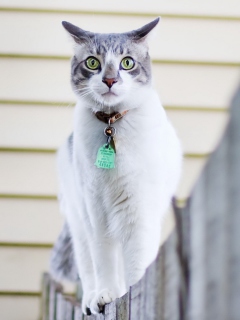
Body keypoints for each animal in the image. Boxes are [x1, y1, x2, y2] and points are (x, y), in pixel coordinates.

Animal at [50, 18, 182, 316]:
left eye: (127, 63)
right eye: (92, 63)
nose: (110, 80)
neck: (112, 126)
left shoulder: (138, 211)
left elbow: (137, 262)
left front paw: (133, 295)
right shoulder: (96, 212)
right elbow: (104, 262)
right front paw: (106, 296)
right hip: (79, 221)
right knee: (88, 267)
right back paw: (90, 299)